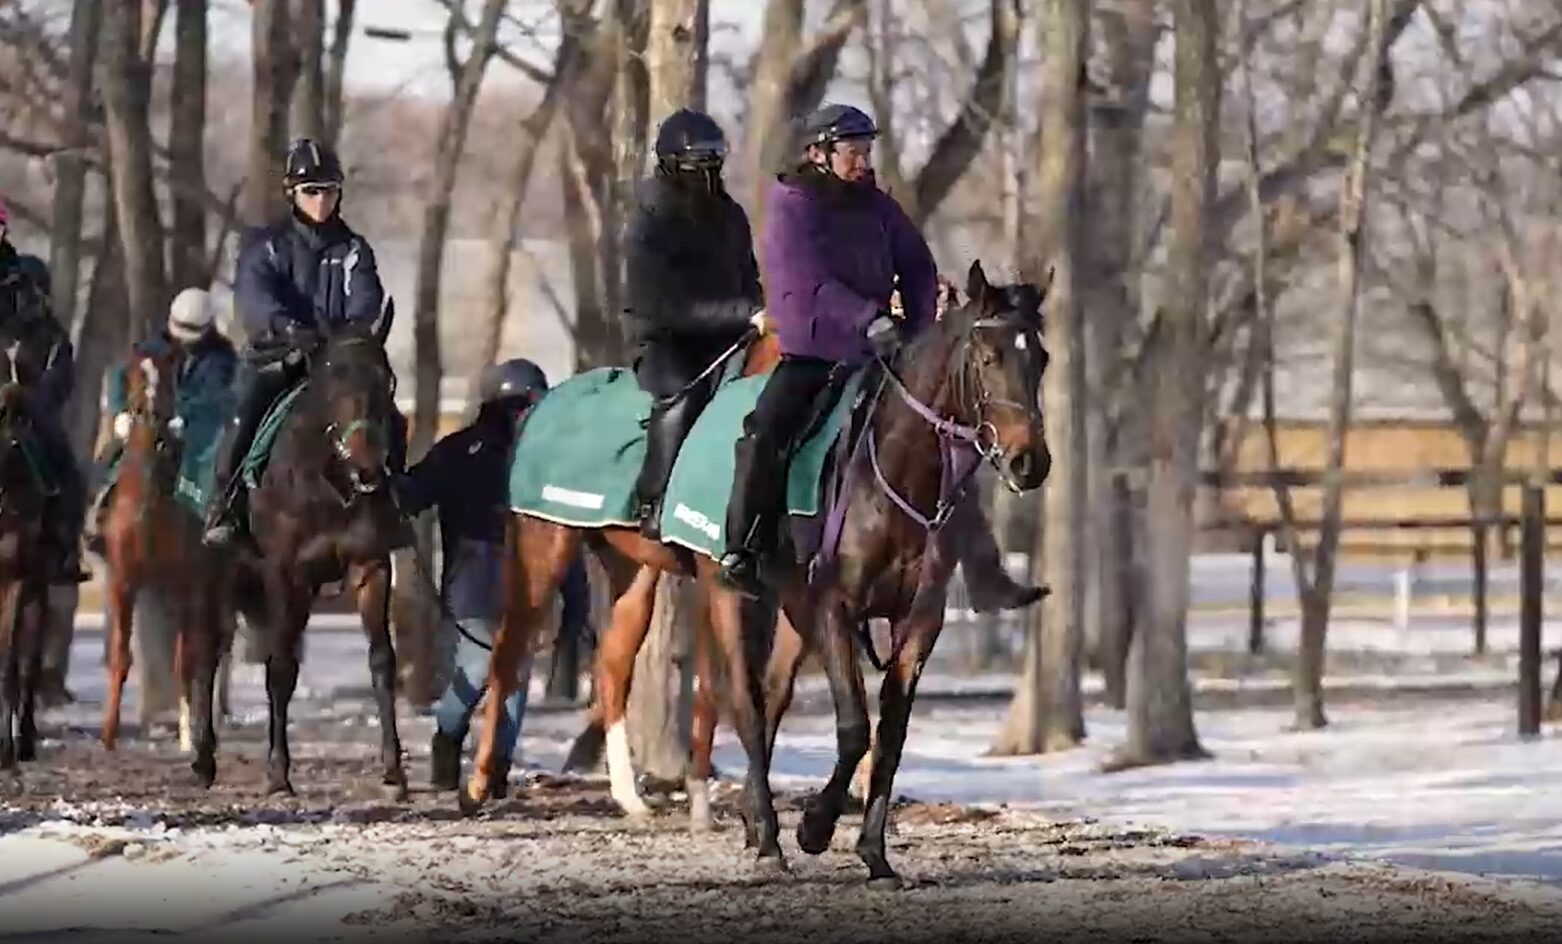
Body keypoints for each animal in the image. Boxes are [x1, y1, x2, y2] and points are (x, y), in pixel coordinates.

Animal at [97, 336, 235, 784]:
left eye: (168, 376)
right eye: (134, 375)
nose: (153, 418)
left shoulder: (185, 582)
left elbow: (187, 658)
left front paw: (192, 736)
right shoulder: (123, 580)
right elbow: (121, 656)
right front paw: (108, 735)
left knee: (203, 650)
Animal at [228, 309, 409, 797]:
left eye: (388, 381)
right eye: (332, 377)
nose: (369, 468)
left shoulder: (371, 565)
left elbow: (382, 660)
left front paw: (395, 770)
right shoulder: (285, 576)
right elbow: (281, 668)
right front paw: (278, 773)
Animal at [456, 259, 1055, 887]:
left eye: (1039, 357)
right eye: (987, 356)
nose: (1028, 461)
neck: (887, 469)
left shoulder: (912, 621)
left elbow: (882, 730)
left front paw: (872, 852)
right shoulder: (825, 606)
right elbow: (844, 723)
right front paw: (809, 827)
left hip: (633, 571)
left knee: (618, 664)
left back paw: (634, 798)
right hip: (551, 548)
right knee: (515, 649)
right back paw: (481, 783)